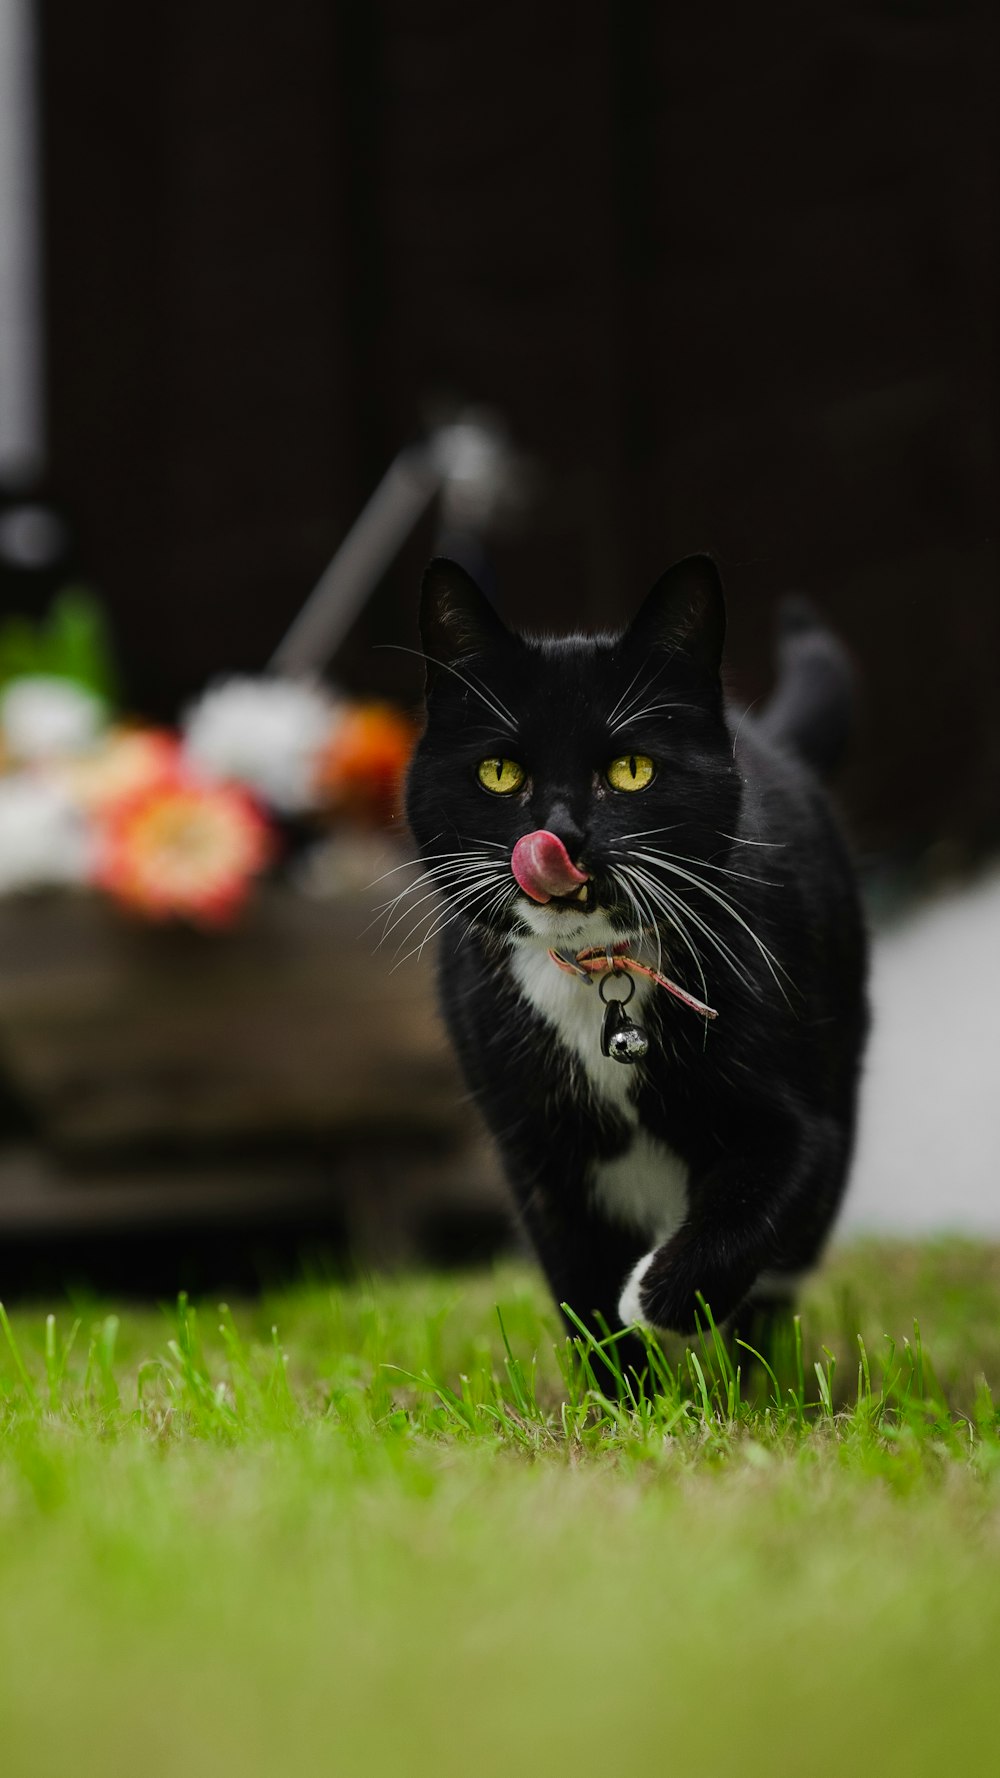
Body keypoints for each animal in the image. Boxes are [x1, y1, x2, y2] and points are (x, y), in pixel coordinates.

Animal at [402, 554, 864, 1358]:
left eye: (631, 770)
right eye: (499, 772)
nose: (560, 834)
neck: (598, 972)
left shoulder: (805, 1122)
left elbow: (762, 1199)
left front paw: (657, 1298)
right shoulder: (539, 1163)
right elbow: (582, 1295)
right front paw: (622, 1377)